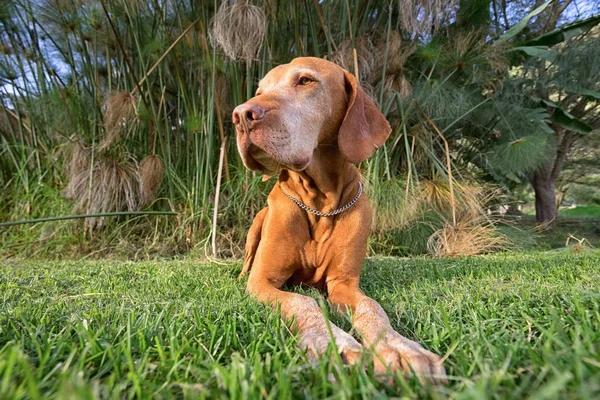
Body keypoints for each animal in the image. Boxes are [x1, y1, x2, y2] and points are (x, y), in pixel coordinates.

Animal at [232, 57, 442, 382]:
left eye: (305, 81)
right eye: (259, 91)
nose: (241, 115)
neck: (319, 203)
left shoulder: (344, 284)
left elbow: (372, 307)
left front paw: (400, 347)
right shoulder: (262, 282)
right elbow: (303, 301)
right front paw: (333, 344)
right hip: (257, 223)